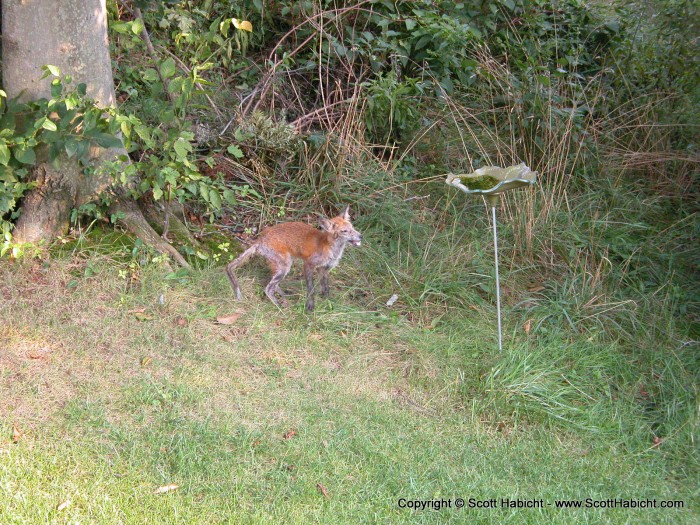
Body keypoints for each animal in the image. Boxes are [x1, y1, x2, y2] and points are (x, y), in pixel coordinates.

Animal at [227, 205, 364, 312]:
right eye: (345, 231)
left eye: (352, 227)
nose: (361, 236)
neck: (329, 248)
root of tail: (259, 240)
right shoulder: (308, 265)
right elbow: (311, 289)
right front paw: (310, 306)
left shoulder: (324, 269)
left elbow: (325, 288)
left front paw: (327, 301)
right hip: (285, 266)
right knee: (268, 288)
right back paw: (279, 306)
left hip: (281, 267)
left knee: (273, 285)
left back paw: (284, 295)